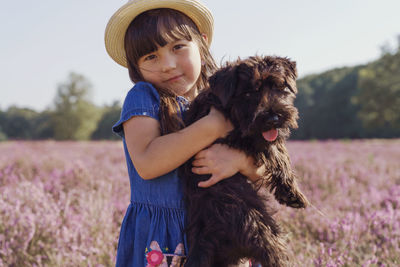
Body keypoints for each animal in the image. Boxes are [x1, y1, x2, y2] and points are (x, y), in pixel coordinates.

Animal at [179, 55, 310, 266]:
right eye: (248, 93)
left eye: (278, 86)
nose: (274, 119)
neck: (224, 104)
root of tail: (208, 233)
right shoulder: (242, 136)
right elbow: (277, 151)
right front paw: (293, 194)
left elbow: (277, 146)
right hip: (266, 235)